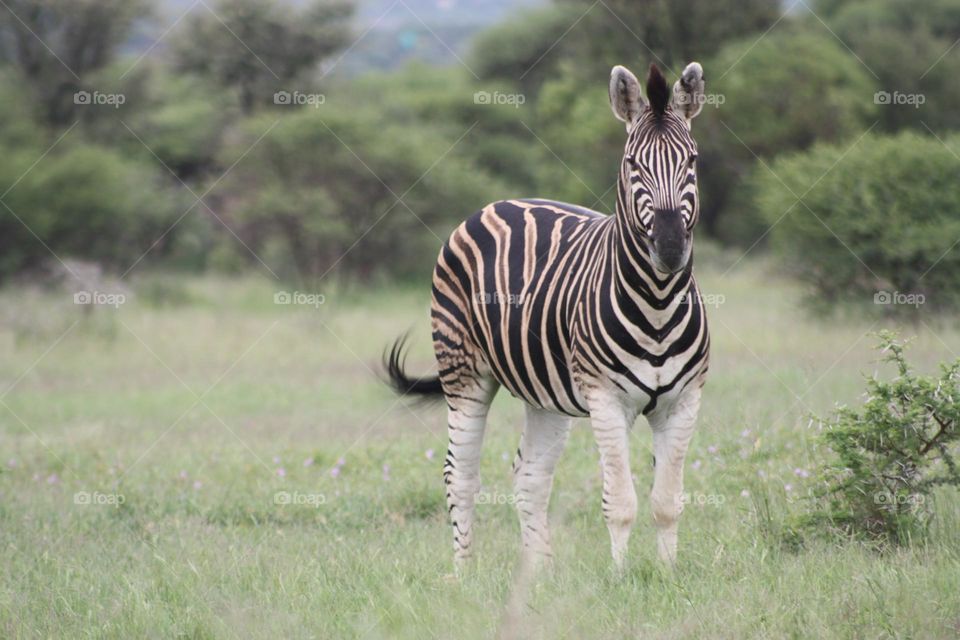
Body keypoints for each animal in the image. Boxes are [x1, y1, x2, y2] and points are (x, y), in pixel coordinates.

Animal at [384, 62, 710, 571]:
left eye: (691, 161)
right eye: (632, 164)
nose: (672, 247)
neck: (657, 302)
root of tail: (499, 202)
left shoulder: (684, 402)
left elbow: (667, 502)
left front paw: (668, 576)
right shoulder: (605, 399)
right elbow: (620, 502)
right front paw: (620, 578)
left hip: (546, 394)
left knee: (530, 474)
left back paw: (539, 574)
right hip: (464, 373)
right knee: (460, 475)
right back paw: (463, 574)